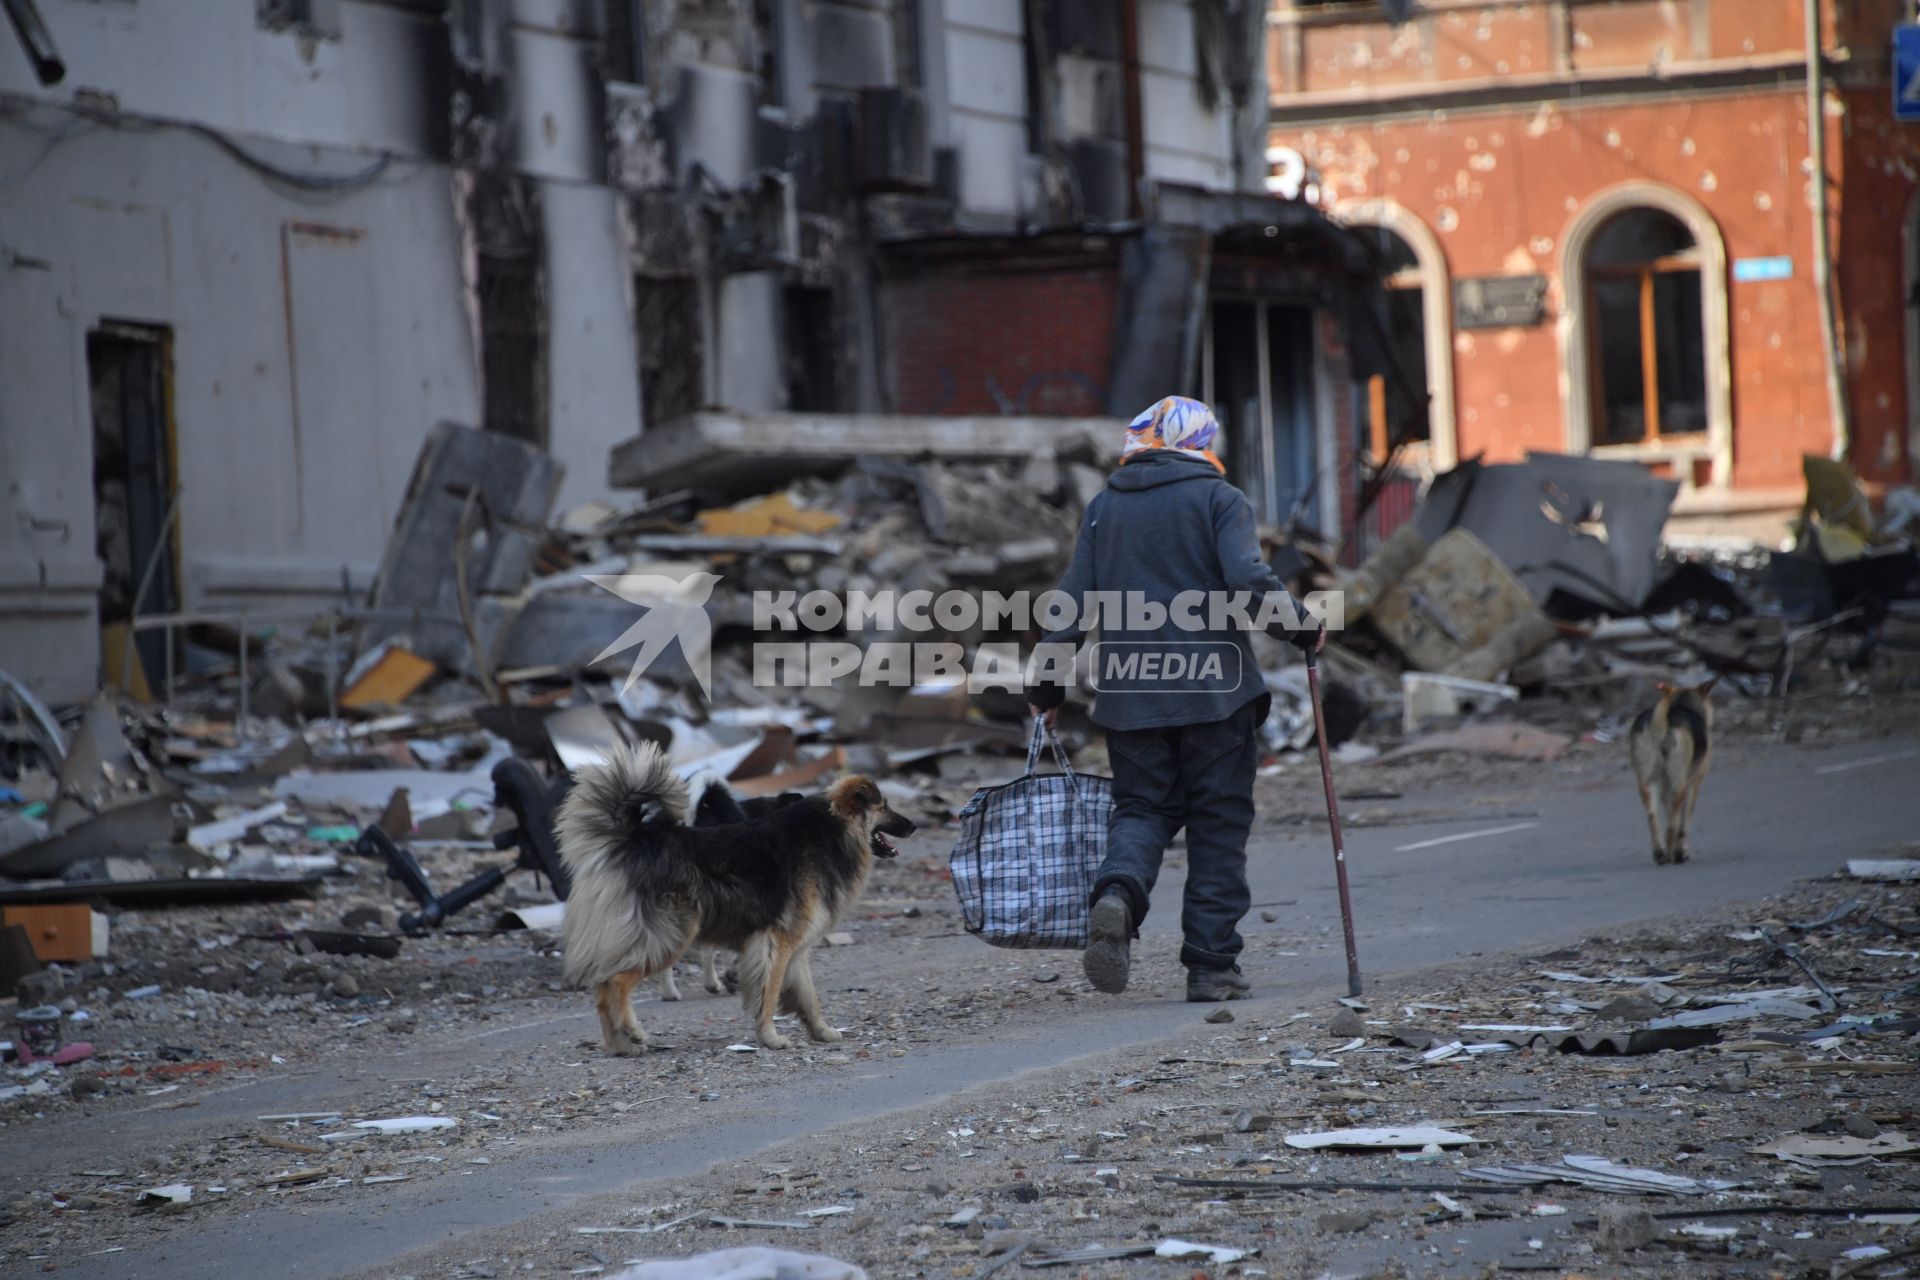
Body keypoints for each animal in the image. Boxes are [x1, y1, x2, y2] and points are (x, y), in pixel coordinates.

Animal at [556, 744, 913, 1059]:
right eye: (884, 806)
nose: (914, 825)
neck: (831, 831)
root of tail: (634, 839)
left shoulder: (796, 948)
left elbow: (808, 996)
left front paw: (821, 1031)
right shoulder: (776, 943)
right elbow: (769, 994)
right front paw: (770, 1038)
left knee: (603, 992)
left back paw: (621, 1046)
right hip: (672, 933)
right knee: (615, 981)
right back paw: (633, 1031)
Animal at [1628, 675, 1720, 867]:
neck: (1684, 704)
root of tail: (1660, 722)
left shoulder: (1665, 789)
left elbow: (1669, 814)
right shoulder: (1693, 784)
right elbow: (1683, 824)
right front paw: (1682, 853)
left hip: (1646, 783)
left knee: (1653, 818)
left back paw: (1659, 853)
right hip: (1679, 785)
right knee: (1672, 828)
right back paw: (1671, 855)